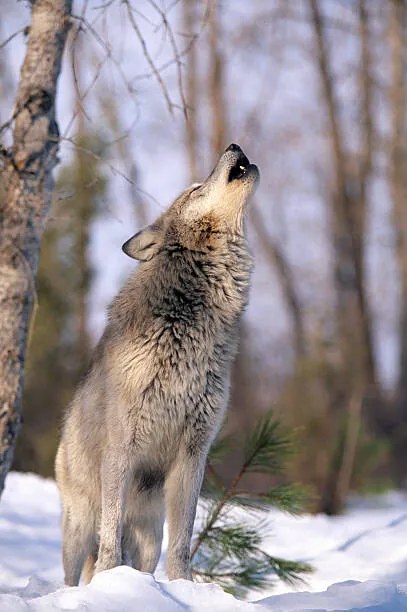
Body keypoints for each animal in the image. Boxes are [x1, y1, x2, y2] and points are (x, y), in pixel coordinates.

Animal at [55, 142, 258, 584]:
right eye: (196, 188)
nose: (235, 145)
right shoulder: (122, 448)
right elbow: (111, 539)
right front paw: (111, 581)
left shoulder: (194, 453)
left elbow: (183, 542)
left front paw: (185, 587)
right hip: (79, 526)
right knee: (75, 568)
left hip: (149, 535)